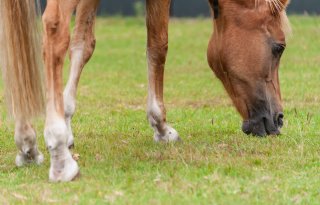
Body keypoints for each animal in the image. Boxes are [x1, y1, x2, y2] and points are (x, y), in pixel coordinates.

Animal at [0, 0, 290, 183]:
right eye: (279, 47)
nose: (278, 119)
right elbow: (158, 45)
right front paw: (161, 126)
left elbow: (83, 43)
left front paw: (67, 119)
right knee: (54, 28)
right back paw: (59, 155)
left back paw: (27, 143)